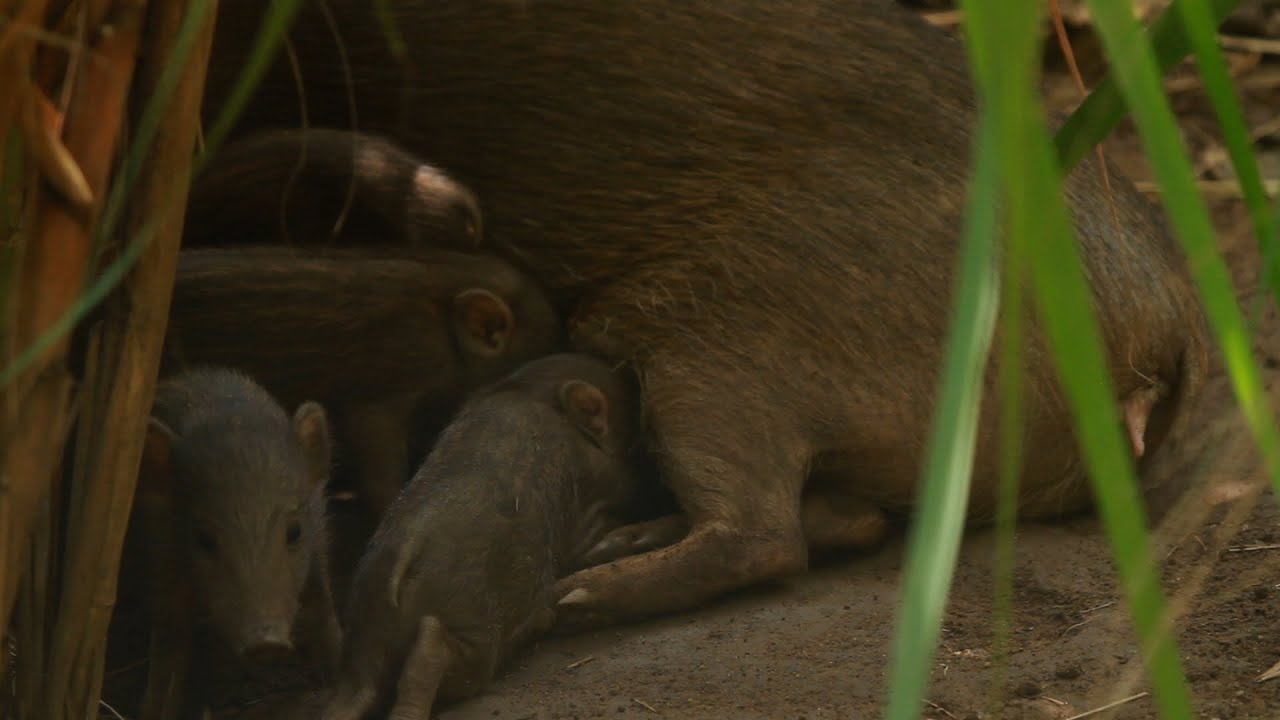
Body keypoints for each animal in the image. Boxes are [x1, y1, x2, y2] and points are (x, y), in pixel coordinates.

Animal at [134, 367, 340, 720]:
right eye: (204, 539)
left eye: (295, 531)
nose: (266, 643)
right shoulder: (163, 557)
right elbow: (169, 646)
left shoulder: (319, 542)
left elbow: (324, 614)